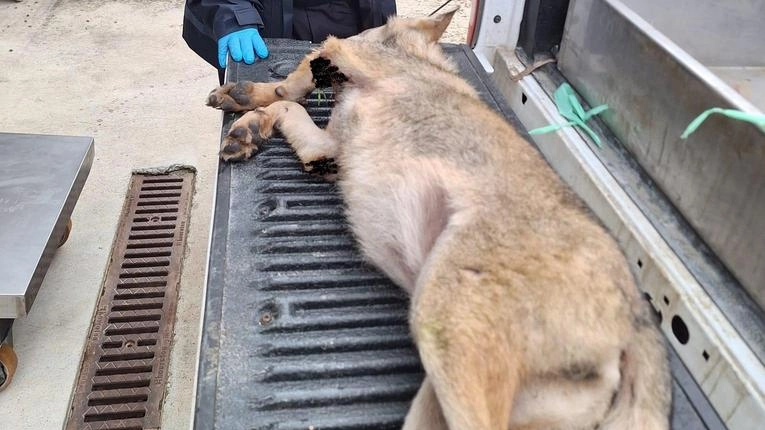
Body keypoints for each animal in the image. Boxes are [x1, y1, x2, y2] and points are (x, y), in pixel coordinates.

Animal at [204, 6, 668, 430]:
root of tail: (638, 319)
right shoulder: (328, 149)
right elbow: (291, 110)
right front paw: (249, 125)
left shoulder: (348, 53)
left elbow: (296, 80)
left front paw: (251, 97)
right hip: (441, 388)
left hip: (444, 321)